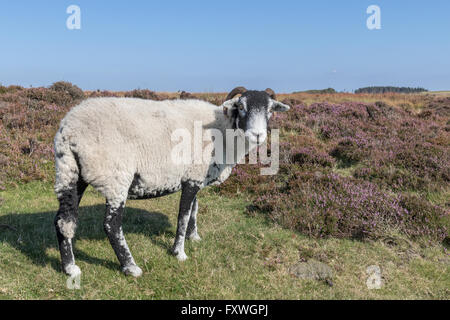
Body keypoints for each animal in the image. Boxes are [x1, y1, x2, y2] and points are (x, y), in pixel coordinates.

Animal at [54, 87, 290, 278]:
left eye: (270, 110)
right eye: (241, 107)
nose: (257, 134)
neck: (222, 131)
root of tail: (68, 130)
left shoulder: (195, 177)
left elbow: (195, 208)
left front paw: (194, 237)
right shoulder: (192, 178)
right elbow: (183, 215)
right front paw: (179, 252)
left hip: (71, 172)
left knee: (63, 220)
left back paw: (70, 268)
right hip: (115, 178)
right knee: (111, 224)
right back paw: (131, 267)